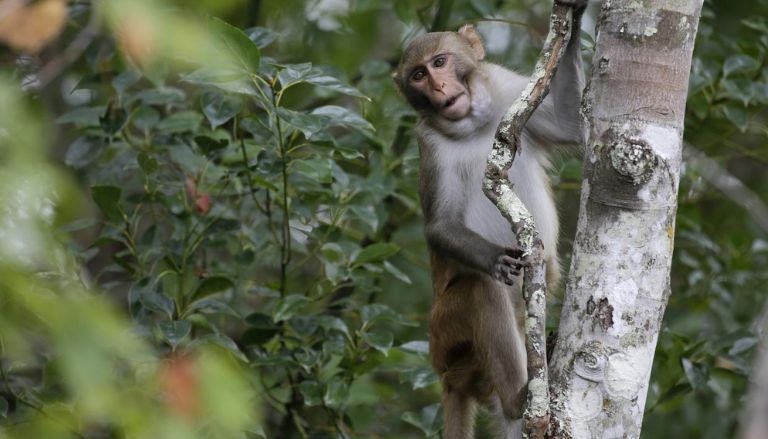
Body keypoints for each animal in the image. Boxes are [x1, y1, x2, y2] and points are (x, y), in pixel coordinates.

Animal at [392, 2, 584, 436]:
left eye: (440, 62)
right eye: (418, 75)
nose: (439, 88)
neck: (473, 125)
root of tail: (448, 378)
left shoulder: (507, 89)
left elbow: (570, 124)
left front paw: (577, 21)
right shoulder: (429, 144)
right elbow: (441, 225)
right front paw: (495, 257)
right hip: (446, 336)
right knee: (481, 289)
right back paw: (518, 399)